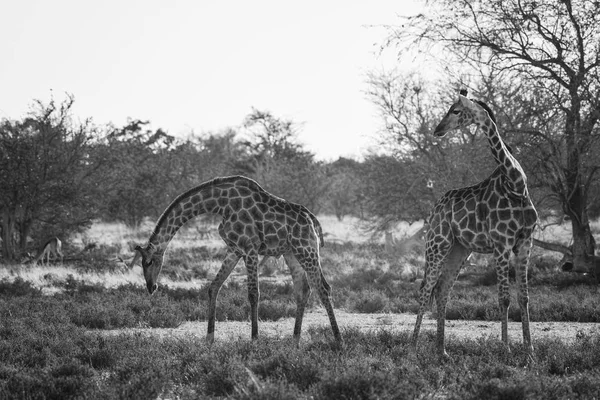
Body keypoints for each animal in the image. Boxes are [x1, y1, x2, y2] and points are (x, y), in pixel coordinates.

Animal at [128, 175, 340, 344]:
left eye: (149, 262)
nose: (151, 287)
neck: (221, 204)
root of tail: (314, 221)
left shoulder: (250, 248)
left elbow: (253, 294)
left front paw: (254, 339)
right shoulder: (234, 249)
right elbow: (213, 287)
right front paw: (209, 338)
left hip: (306, 250)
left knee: (324, 288)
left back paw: (338, 340)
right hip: (292, 253)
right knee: (303, 290)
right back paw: (295, 341)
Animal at [412, 91, 540, 360]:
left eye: (456, 111)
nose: (438, 130)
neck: (516, 184)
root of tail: (436, 207)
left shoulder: (526, 242)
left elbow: (524, 298)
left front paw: (530, 352)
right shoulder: (502, 244)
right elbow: (504, 299)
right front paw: (506, 349)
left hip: (460, 249)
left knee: (442, 290)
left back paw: (442, 351)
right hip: (437, 244)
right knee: (426, 289)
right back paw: (412, 348)